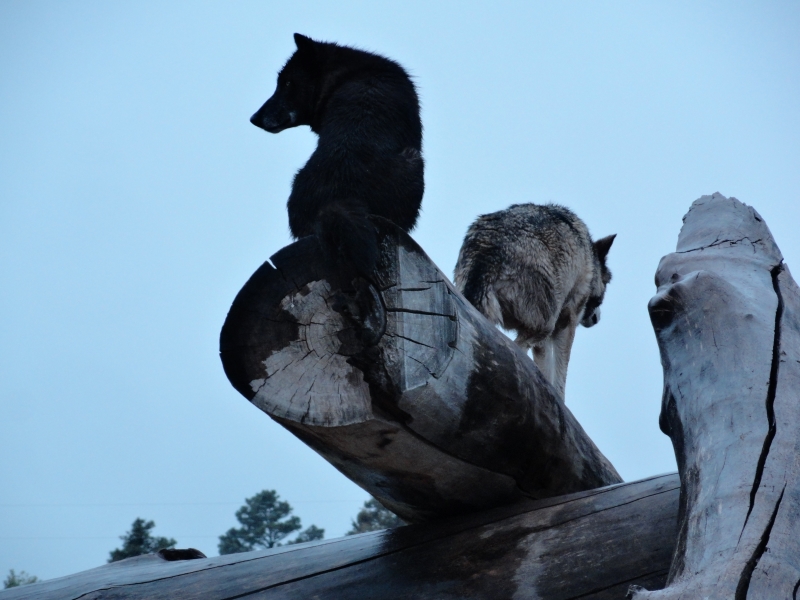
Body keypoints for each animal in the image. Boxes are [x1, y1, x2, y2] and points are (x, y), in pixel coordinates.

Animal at [454, 203, 615, 399]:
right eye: (607, 284)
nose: (597, 319)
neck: (590, 260)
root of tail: (488, 250)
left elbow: (545, 368)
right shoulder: (567, 322)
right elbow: (560, 374)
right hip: (546, 325)